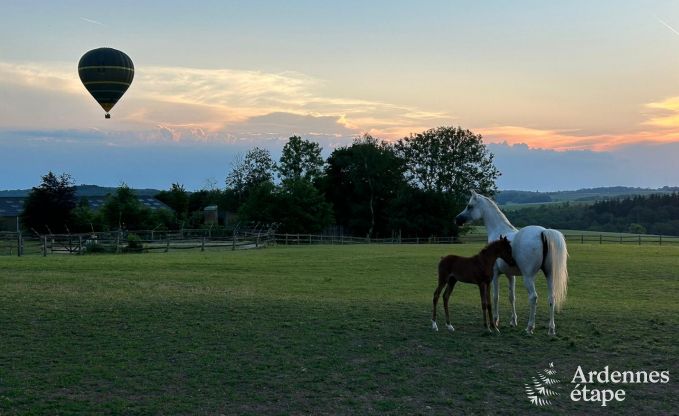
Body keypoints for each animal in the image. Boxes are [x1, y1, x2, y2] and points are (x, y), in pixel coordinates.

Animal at [456, 192, 568, 334]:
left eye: (469, 206)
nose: (457, 219)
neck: (499, 231)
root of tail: (543, 232)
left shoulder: (495, 274)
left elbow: (495, 296)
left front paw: (495, 321)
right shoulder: (510, 275)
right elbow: (512, 297)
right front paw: (513, 321)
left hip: (528, 277)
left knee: (533, 297)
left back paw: (530, 327)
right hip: (549, 275)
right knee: (551, 298)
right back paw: (551, 329)